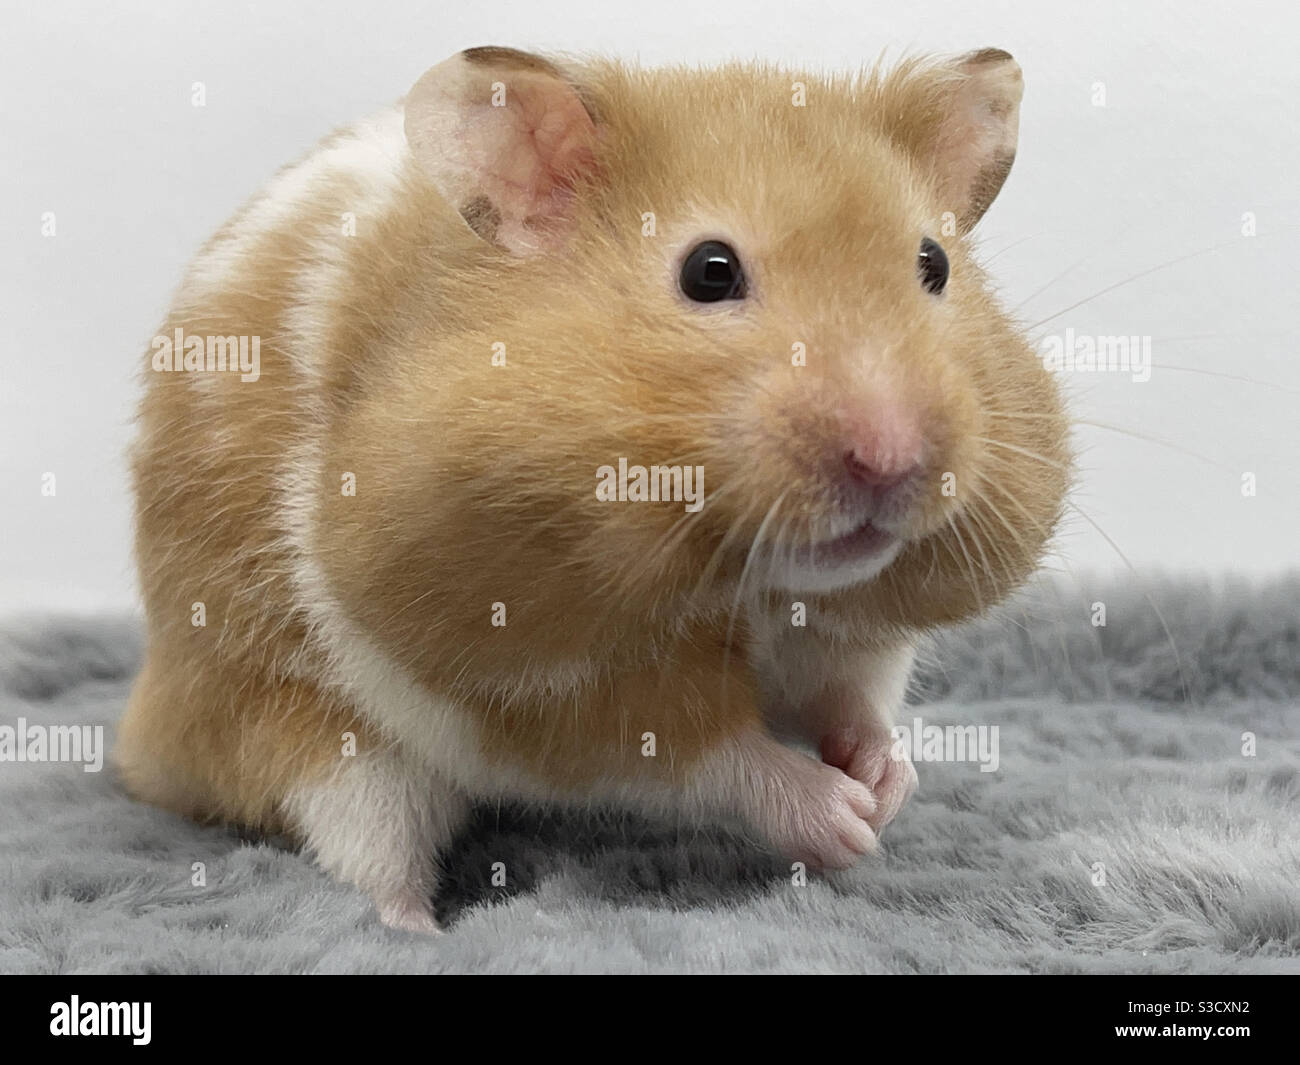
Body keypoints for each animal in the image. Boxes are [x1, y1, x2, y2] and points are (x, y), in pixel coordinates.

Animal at [115, 46, 1070, 933]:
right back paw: (421, 928)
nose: (890, 460)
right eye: (709, 271)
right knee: (367, 845)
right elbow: (707, 757)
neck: (749, 581)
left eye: (934, 263)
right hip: (302, 729)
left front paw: (885, 788)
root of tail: (149, 738)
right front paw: (846, 822)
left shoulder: (851, 633)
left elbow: (860, 697)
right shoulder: (532, 690)